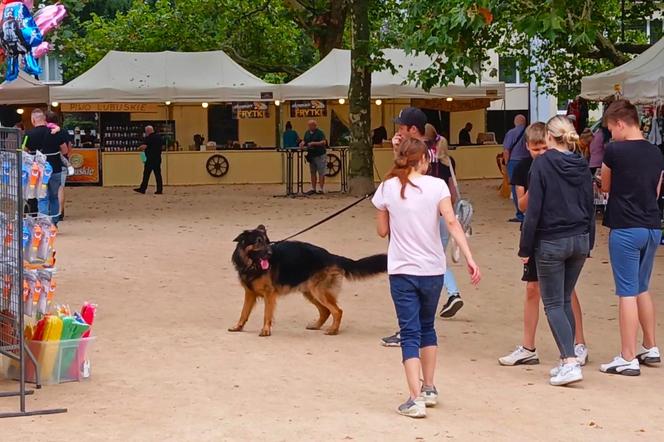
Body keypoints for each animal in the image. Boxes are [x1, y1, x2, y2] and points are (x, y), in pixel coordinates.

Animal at [228, 226, 386, 336]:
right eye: (258, 242)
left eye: (268, 242)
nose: (271, 254)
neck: (252, 265)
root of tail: (331, 256)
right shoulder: (249, 293)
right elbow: (243, 313)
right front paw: (238, 327)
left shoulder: (269, 294)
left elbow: (267, 314)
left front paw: (266, 330)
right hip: (310, 292)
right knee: (325, 311)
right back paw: (317, 325)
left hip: (319, 292)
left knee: (337, 311)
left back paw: (333, 330)